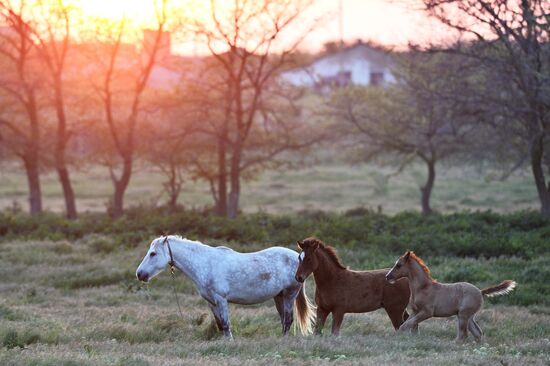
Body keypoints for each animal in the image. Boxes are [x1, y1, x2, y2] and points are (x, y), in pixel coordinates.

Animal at [136, 236, 314, 338]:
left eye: (153, 254)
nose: (139, 274)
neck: (205, 263)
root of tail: (298, 257)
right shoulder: (211, 302)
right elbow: (220, 325)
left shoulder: (221, 300)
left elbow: (226, 324)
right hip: (279, 296)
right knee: (284, 320)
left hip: (290, 295)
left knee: (288, 320)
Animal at [388, 250, 516, 342]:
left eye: (399, 265)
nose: (387, 276)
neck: (423, 287)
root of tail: (480, 291)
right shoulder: (415, 311)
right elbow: (407, 324)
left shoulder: (427, 312)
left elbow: (407, 324)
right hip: (468, 316)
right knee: (477, 333)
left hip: (463, 315)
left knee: (463, 335)